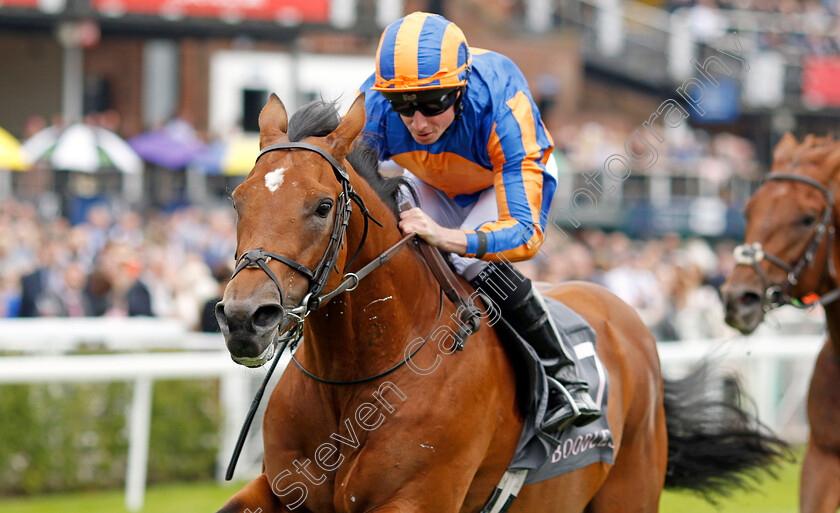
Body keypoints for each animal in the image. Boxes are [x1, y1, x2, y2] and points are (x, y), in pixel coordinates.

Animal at [215, 95, 780, 512]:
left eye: (323, 206)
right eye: (237, 199)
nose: (244, 317)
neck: (355, 380)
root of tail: (631, 324)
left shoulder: (415, 499)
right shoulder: (282, 488)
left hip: (629, 491)